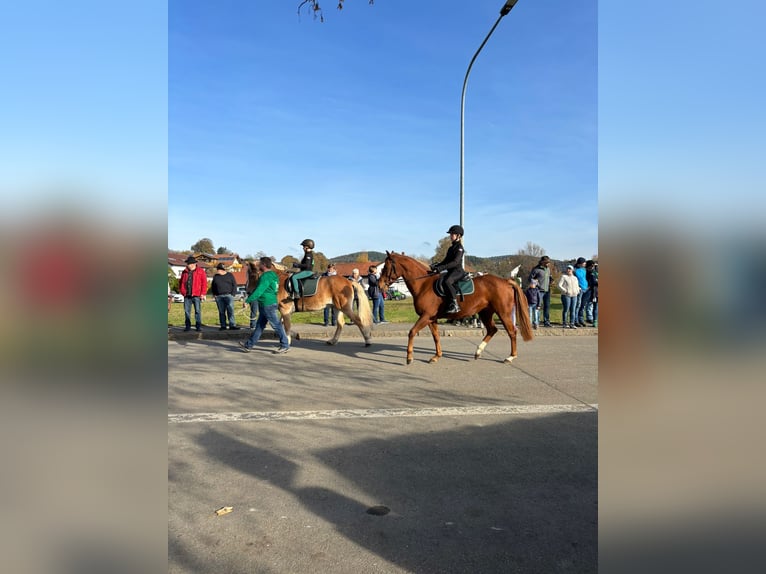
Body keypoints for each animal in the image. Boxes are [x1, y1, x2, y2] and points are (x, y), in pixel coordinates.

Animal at [378, 251, 536, 364]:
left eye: (386, 267)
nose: (379, 285)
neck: (424, 285)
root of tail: (506, 281)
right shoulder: (431, 318)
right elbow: (436, 337)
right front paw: (437, 356)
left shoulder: (425, 316)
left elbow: (412, 332)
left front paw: (409, 357)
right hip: (485, 313)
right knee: (492, 329)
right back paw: (478, 352)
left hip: (503, 312)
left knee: (512, 331)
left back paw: (510, 357)